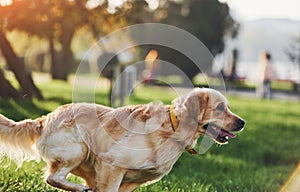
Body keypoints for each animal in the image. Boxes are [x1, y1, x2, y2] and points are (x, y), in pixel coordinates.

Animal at [0, 88, 244, 190]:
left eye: (229, 107)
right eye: (221, 108)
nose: (242, 122)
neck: (172, 130)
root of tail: (45, 118)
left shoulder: (130, 183)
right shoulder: (111, 165)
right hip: (79, 150)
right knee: (52, 177)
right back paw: (78, 188)